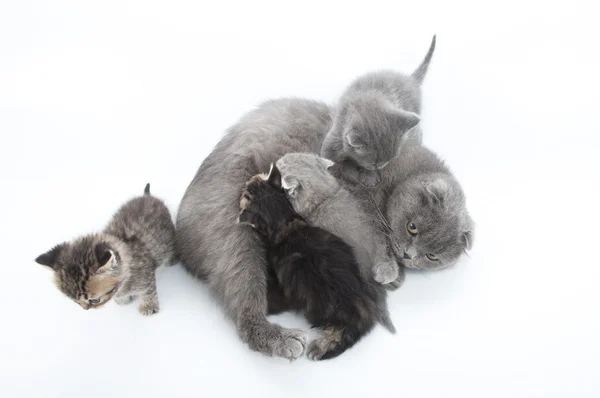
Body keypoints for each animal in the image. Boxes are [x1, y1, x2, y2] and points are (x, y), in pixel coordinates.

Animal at [35, 184, 177, 318]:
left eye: (95, 300)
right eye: (75, 301)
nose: (85, 309)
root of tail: (147, 196)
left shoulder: (146, 277)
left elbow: (148, 291)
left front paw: (148, 306)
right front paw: (123, 299)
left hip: (168, 239)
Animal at [237, 165, 396, 360]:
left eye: (246, 194)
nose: (247, 181)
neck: (284, 221)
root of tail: (366, 305)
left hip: (326, 309)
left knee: (347, 330)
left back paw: (321, 347)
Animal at [324, 35, 436, 188]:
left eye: (388, 161)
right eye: (374, 164)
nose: (381, 166)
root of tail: (410, 79)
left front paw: (369, 177)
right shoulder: (339, 123)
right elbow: (329, 148)